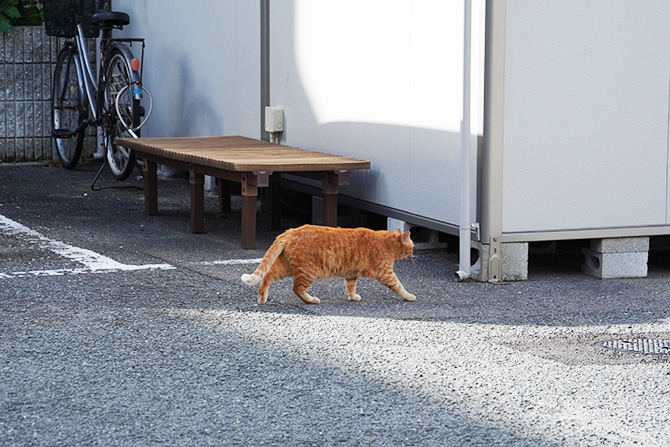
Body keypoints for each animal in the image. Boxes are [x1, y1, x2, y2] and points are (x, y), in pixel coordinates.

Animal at [242, 224, 414, 304]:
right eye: (412, 247)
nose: (413, 253)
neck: (386, 242)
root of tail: (289, 231)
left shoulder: (351, 274)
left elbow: (350, 287)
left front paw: (353, 297)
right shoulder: (386, 273)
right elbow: (399, 286)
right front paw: (409, 296)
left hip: (285, 267)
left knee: (267, 276)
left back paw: (261, 297)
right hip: (308, 271)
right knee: (296, 288)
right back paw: (311, 300)